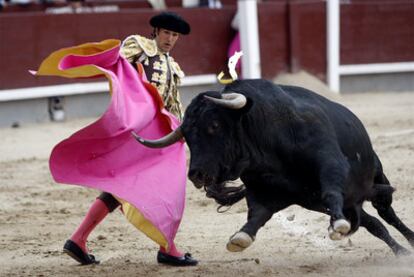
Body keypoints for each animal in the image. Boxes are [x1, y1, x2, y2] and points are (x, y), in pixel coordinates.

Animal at [133, 79, 414, 254]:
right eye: (188, 137)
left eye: (214, 126)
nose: (196, 174)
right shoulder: (261, 190)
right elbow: (256, 215)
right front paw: (240, 238)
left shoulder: (330, 163)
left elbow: (331, 190)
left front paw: (338, 227)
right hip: (338, 203)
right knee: (373, 223)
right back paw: (401, 252)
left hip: (378, 178)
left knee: (386, 213)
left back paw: (408, 242)